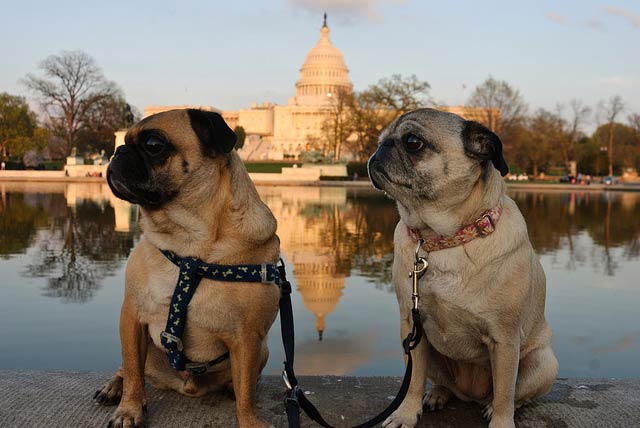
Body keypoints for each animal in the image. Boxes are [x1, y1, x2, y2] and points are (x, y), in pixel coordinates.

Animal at [94, 109, 278, 428]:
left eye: (153, 145)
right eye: (123, 141)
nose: (118, 151)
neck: (189, 242)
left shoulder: (247, 338)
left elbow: (246, 394)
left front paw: (249, 420)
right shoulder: (131, 317)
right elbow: (133, 371)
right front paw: (129, 410)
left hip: (262, 349)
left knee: (244, 382)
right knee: (128, 370)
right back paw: (113, 388)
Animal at [368, 108, 556, 428]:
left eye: (413, 142)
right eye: (380, 140)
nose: (380, 149)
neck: (441, 240)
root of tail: (472, 394)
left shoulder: (505, 340)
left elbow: (505, 392)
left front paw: (501, 421)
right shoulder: (411, 327)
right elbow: (413, 380)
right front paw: (406, 413)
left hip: (543, 364)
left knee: (513, 395)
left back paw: (491, 407)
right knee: (442, 383)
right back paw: (437, 395)